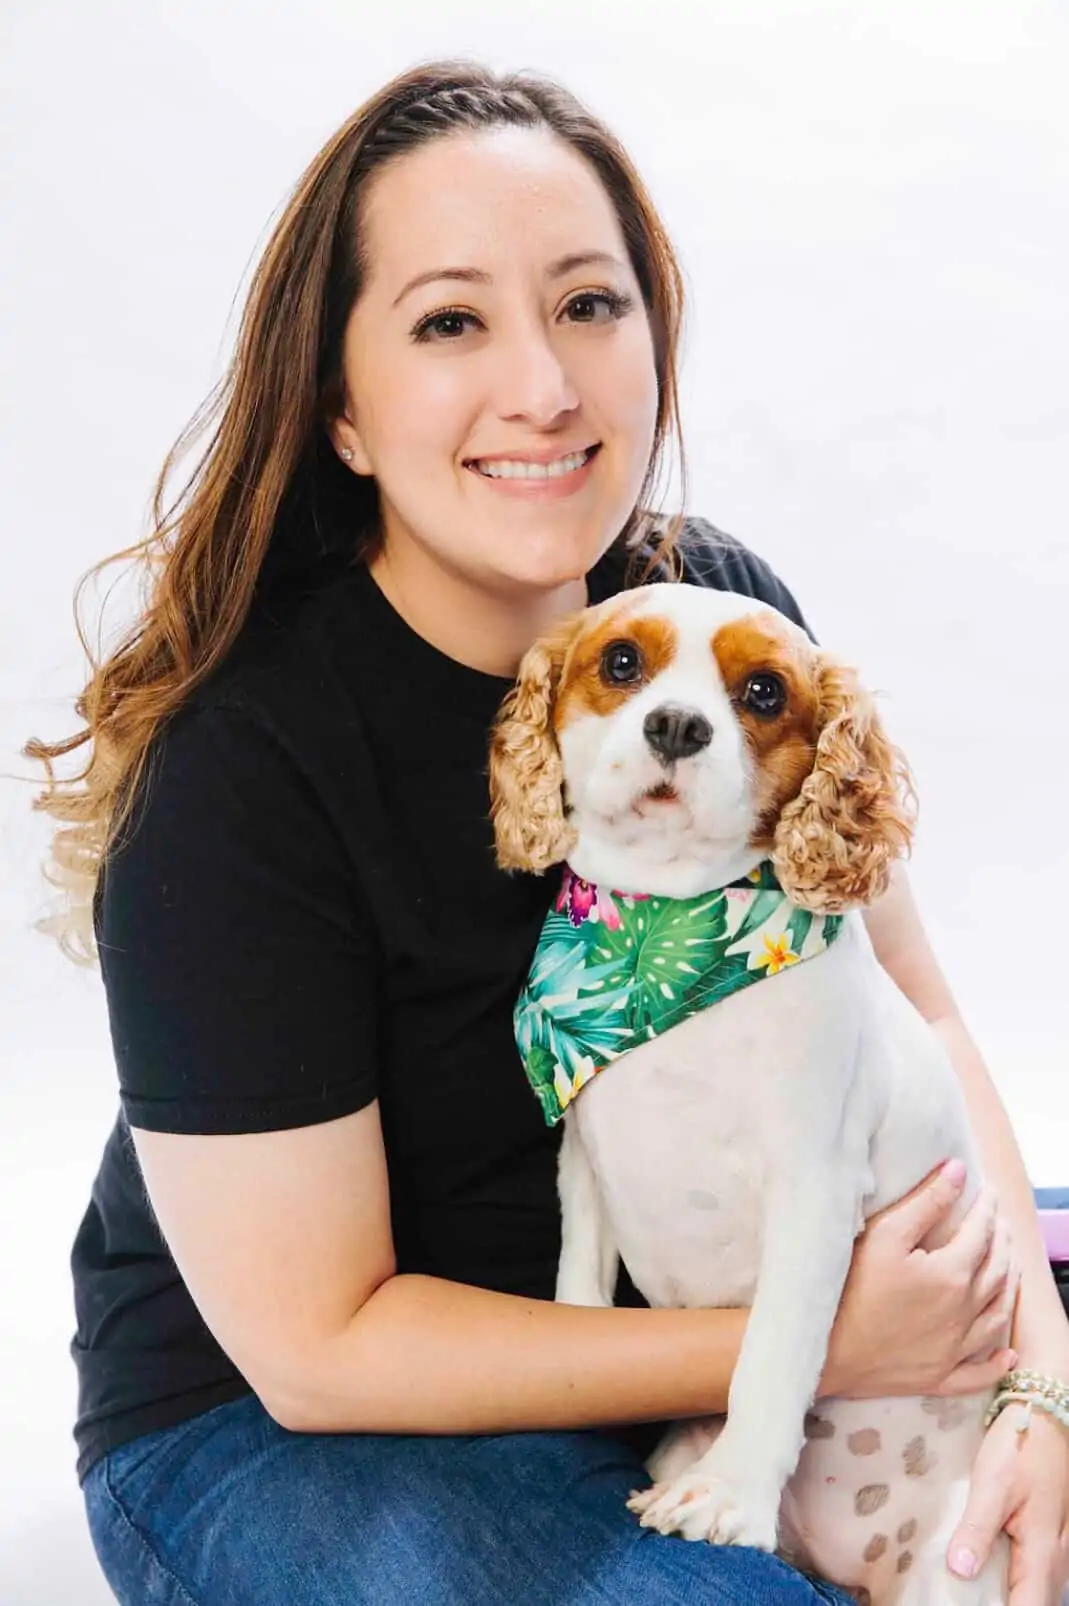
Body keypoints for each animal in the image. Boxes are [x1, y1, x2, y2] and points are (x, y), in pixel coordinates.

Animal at [487, 584, 1008, 1606]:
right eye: (619, 663)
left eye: (763, 692)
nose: (677, 726)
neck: (659, 929)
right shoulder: (586, 1167)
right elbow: (579, 1295)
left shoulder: (813, 1190)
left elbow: (770, 1352)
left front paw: (728, 1496)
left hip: (956, 1575)